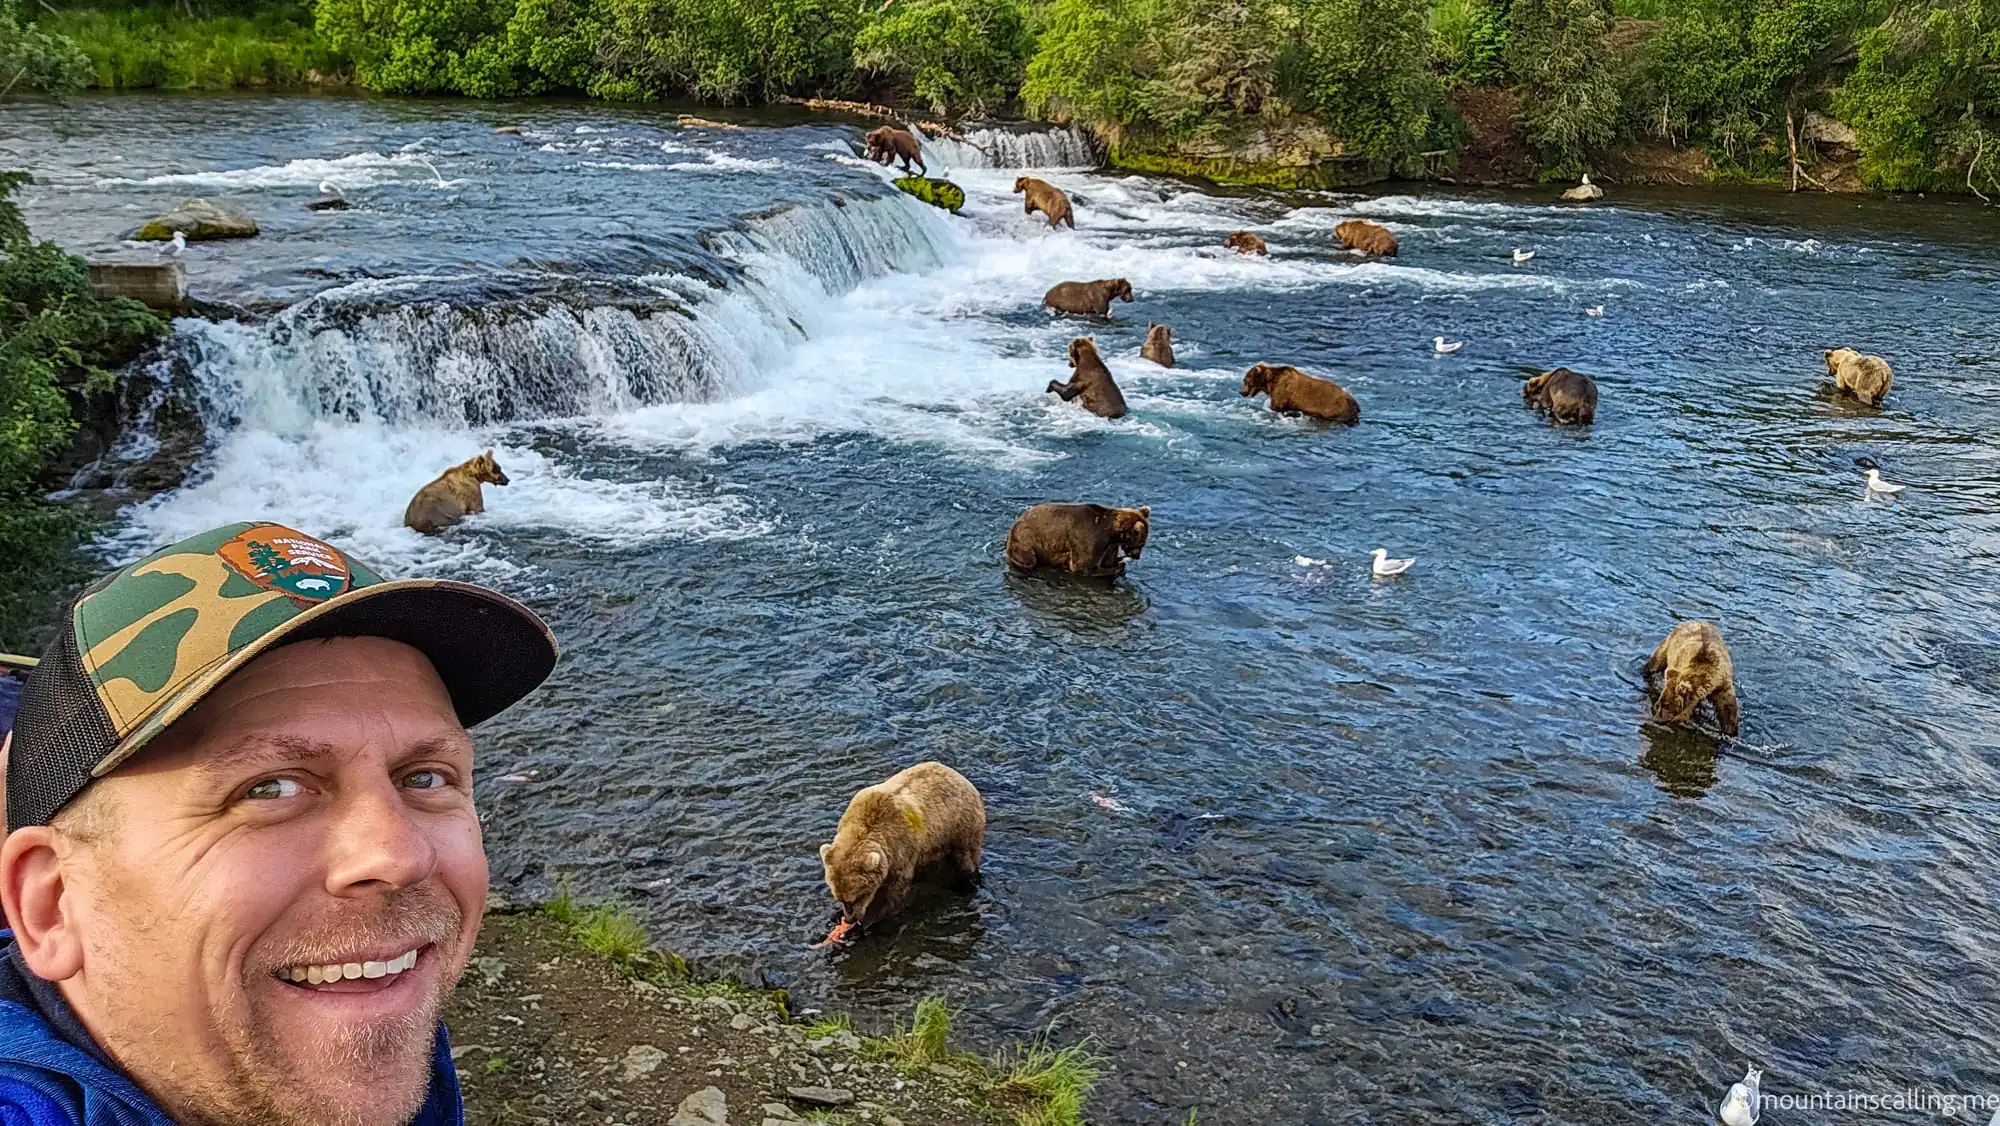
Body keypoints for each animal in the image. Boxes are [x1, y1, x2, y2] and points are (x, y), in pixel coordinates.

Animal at [820, 762, 985, 931]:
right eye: (840, 898)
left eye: (857, 898)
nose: (850, 918)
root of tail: (960, 777)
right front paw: (837, 916)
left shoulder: (901, 849)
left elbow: (893, 892)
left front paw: (865, 922)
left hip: (960, 827)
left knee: (966, 859)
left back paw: (966, 883)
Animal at [1005, 502, 1151, 578]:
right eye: (1142, 543)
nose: (1137, 556)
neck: (1112, 532)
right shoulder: (1091, 537)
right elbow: (1083, 565)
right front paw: (1119, 566)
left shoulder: (1110, 545)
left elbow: (1107, 560)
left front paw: (1115, 564)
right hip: (1027, 540)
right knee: (1029, 559)